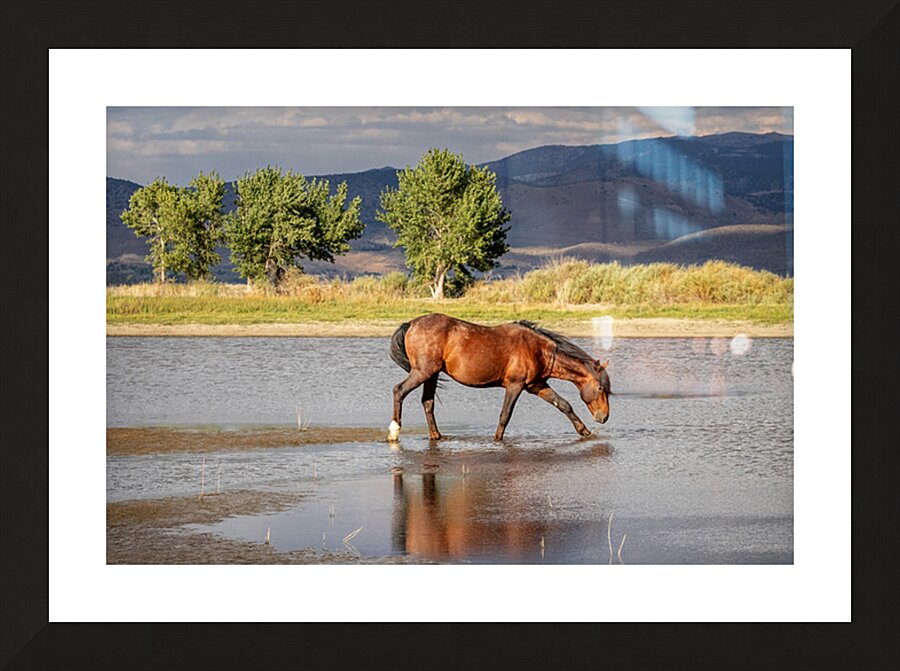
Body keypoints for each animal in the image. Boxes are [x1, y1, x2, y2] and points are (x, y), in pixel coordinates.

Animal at [388, 313, 610, 441]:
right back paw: (394, 432)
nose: (604, 417)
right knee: (399, 391)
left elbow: (564, 405)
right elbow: (505, 414)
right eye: (600, 388)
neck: (538, 350)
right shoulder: (515, 386)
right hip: (422, 372)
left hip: (431, 375)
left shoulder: (537, 386)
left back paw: (436, 436)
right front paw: (497, 439)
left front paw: (585, 432)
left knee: (428, 402)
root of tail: (411, 323)